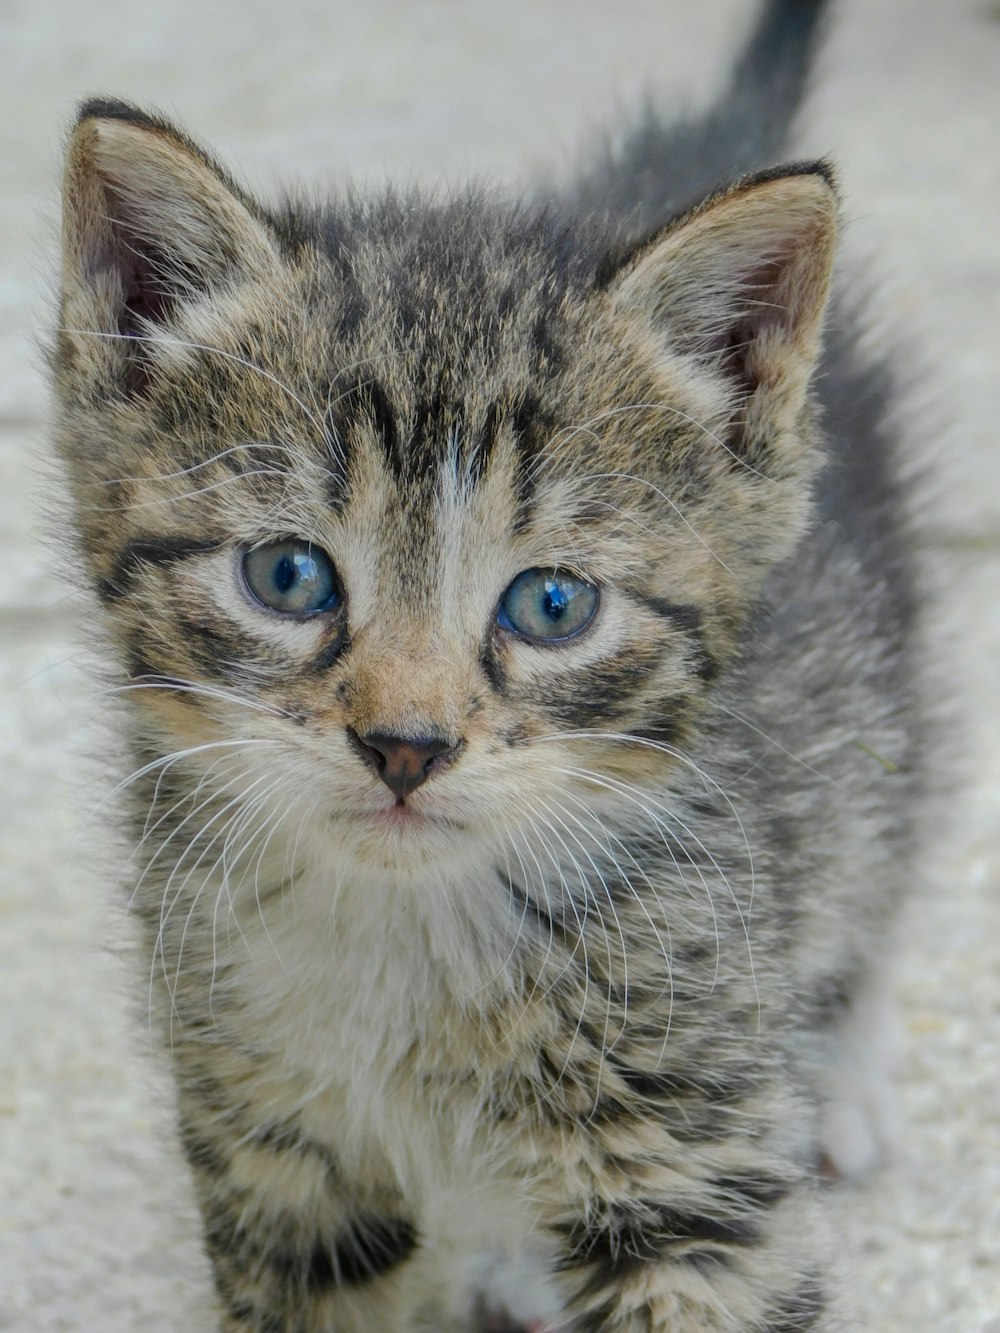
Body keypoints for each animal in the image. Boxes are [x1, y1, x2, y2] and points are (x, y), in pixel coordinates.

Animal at [51, 2, 922, 1333]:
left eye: (552, 604)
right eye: (287, 577)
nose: (405, 745)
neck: (415, 931)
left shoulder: (686, 1146)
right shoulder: (273, 1146)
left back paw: (846, 1072)